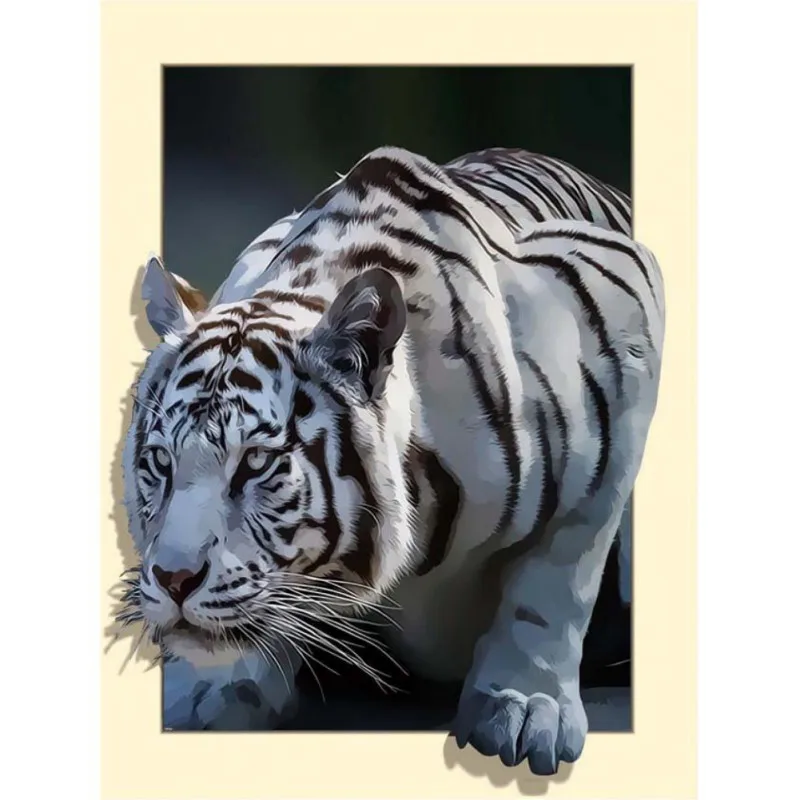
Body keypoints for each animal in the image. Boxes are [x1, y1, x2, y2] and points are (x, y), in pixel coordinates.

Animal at [120, 146, 664, 775]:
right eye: (161, 461)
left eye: (255, 462)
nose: (174, 580)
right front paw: (213, 685)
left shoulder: (624, 318)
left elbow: (558, 574)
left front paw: (525, 706)